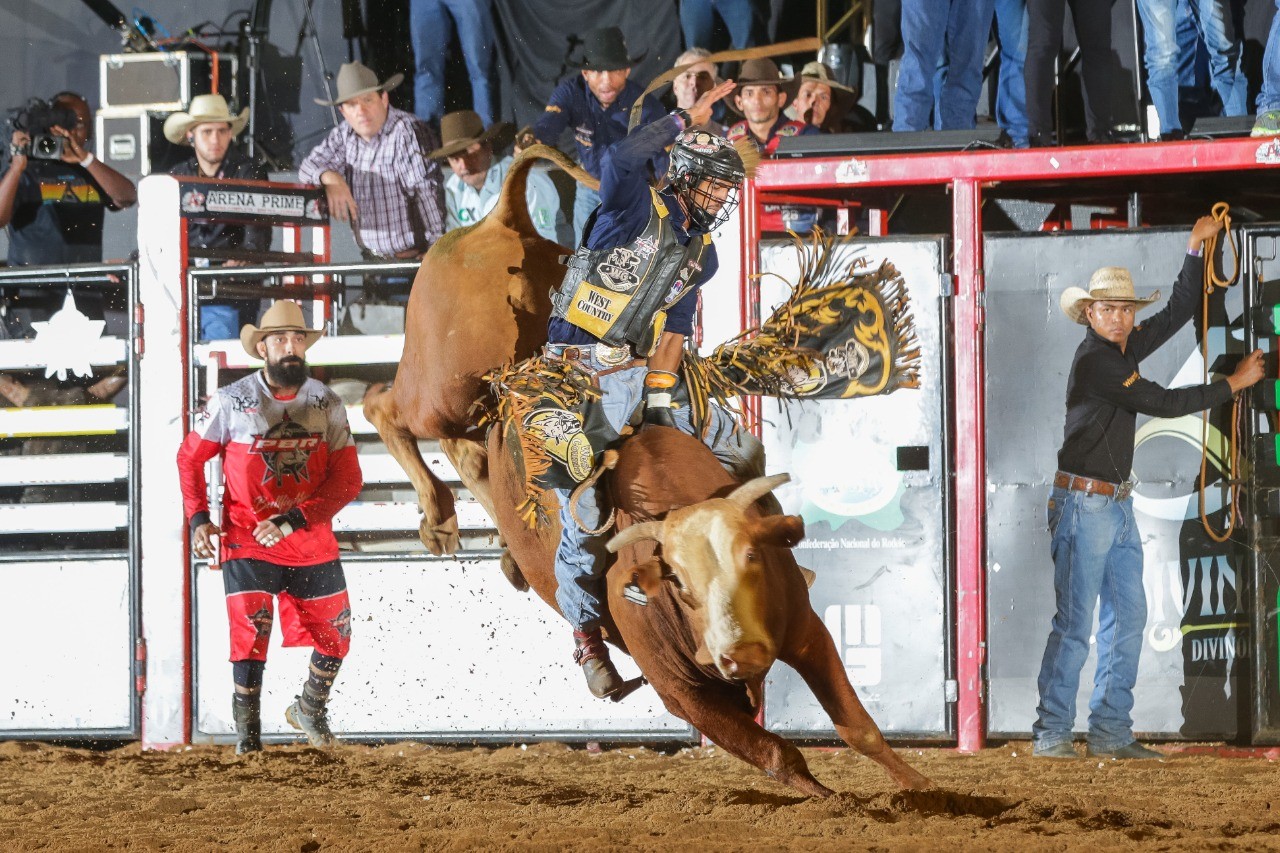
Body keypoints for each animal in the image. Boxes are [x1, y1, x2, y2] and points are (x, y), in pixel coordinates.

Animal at [483, 422, 926, 794]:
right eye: (677, 581)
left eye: (752, 555)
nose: (741, 653)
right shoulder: (682, 694)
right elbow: (777, 754)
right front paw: (839, 802)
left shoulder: (807, 632)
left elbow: (859, 729)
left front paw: (923, 789)